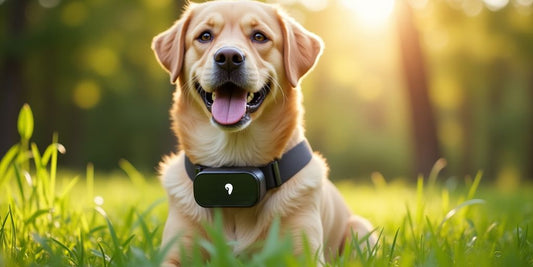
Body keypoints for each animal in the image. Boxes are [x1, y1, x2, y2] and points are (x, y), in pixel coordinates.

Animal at [151, 0, 374, 264]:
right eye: (205, 36)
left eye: (259, 36)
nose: (228, 57)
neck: (234, 165)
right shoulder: (173, 253)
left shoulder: (305, 254)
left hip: (360, 229)